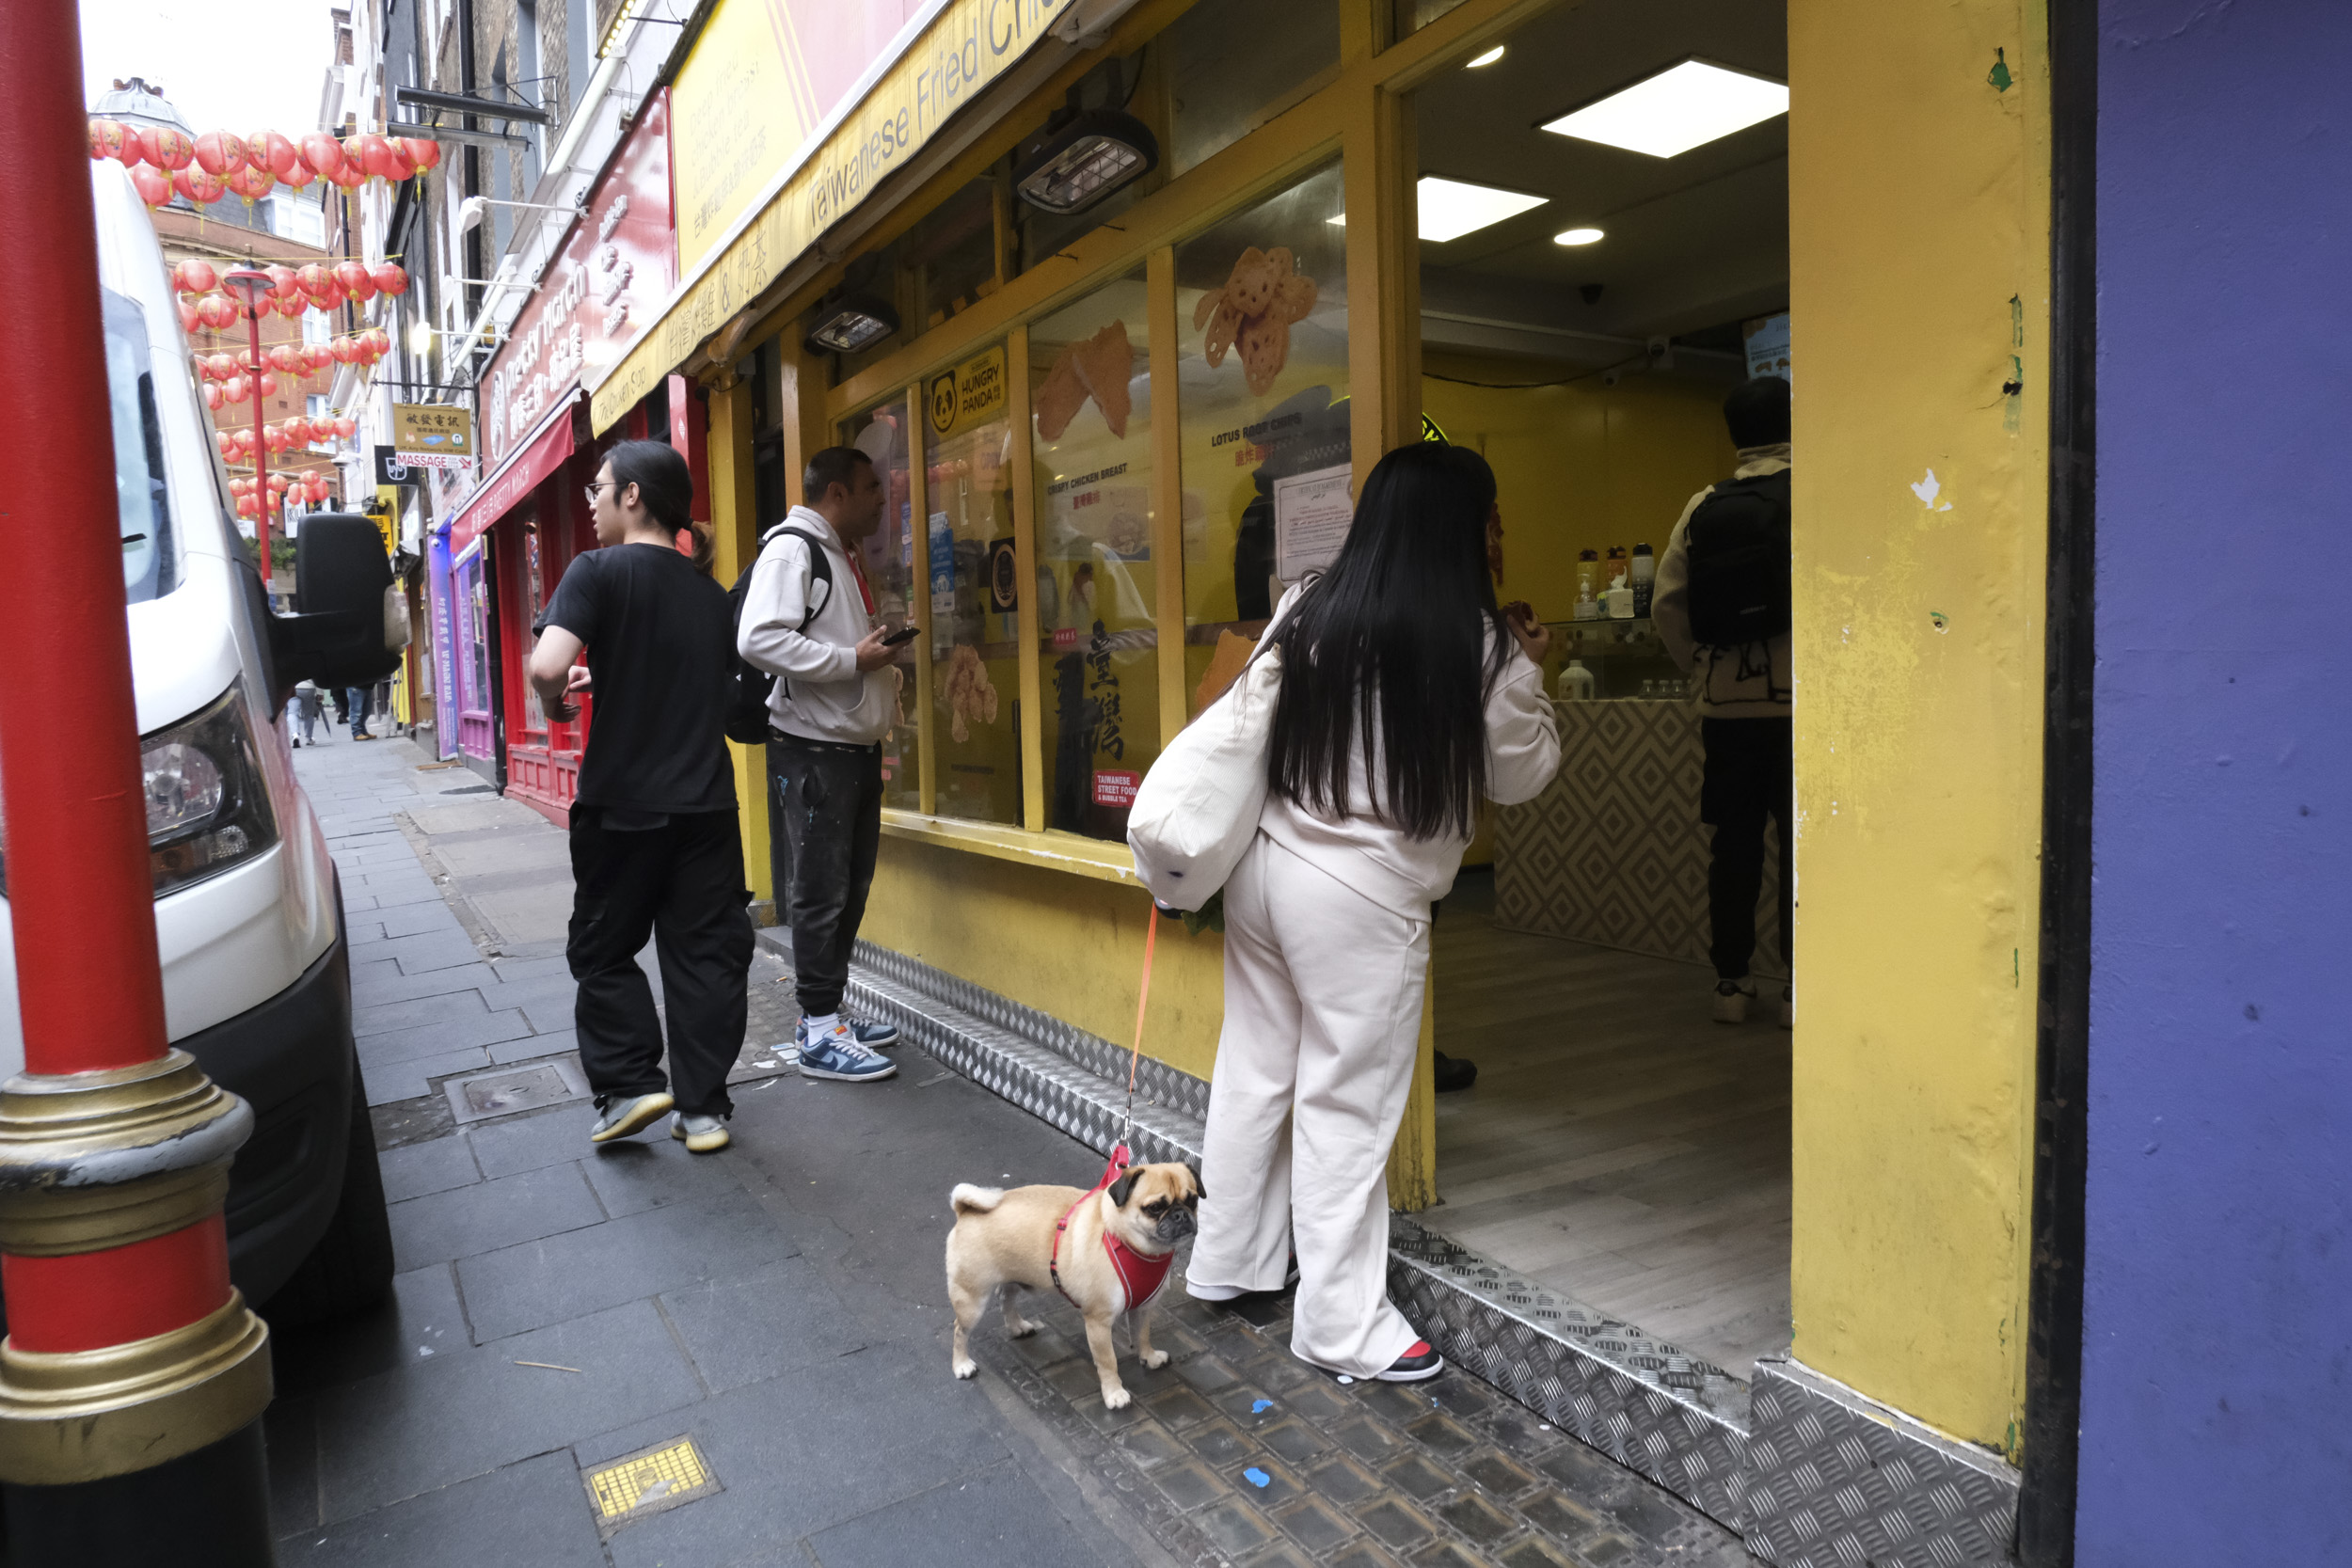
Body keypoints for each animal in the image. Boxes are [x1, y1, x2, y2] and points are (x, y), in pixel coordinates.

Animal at [946, 1165, 1204, 1410]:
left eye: (1192, 1200)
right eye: (1155, 1208)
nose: (1180, 1215)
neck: (1133, 1245)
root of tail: (965, 1210)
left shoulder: (1143, 1309)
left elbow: (1142, 1335)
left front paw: (1149, 1358)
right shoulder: (1098, 1322)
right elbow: (1108, 1361)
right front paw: (1114, 1394)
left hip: (1013, 1279)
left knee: (1006, 1299)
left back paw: (1017, 1326)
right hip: (972, 1300)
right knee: (959, 1330)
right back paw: (962, 1365)